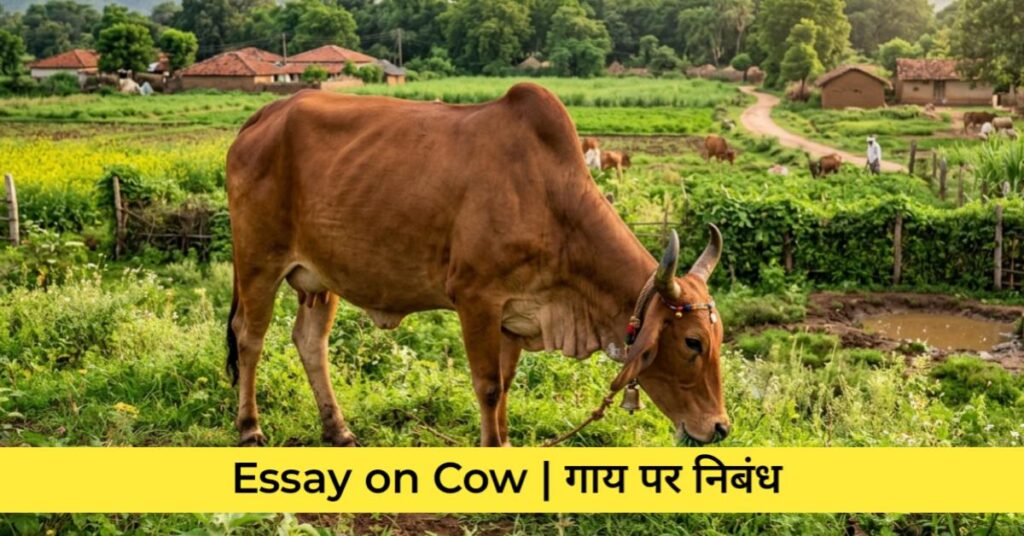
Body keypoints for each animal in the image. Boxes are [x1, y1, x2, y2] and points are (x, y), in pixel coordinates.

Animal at [226, 84, 730, 448]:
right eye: (692, 342)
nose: (719, 427)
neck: (551, 200)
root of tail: (267, 113)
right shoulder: (477, 300)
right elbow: (488, 385)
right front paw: (491, 449)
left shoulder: (515, 315)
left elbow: (506, 384)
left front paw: (503, 444)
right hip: (258, 261)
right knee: (249, 337)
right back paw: (250, 427)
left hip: (320, 276)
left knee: (310, 342)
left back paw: (338, 430)